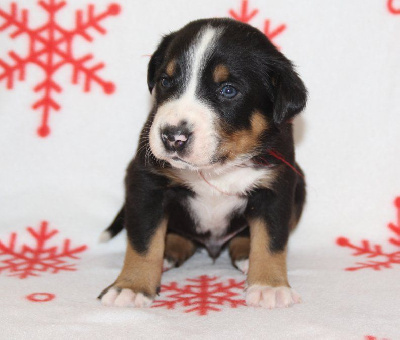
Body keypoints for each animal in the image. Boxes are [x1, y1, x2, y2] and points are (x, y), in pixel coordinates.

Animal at [99, 18, 306, 310]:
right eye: (165, 81)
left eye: (228, 90)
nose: (172, 136)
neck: (217, 168)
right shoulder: (146, 183)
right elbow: (143, 240)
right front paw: (131, 286)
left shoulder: (276, 185)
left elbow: (272, 240)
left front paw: (269, 286)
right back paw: (169, 251)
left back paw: (245, 254)